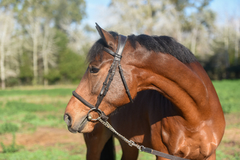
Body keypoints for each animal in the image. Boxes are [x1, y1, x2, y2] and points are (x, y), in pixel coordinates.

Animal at [63, 24, 225, 160]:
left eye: (94, 69)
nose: (68, 116)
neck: (197, 115)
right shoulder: (164, 156)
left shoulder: (209, 155)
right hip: (94, 143)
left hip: (129, 145)